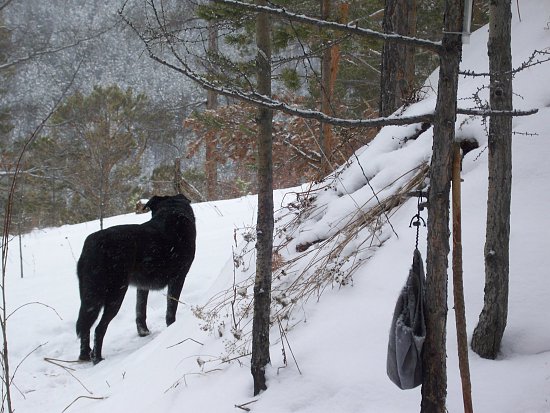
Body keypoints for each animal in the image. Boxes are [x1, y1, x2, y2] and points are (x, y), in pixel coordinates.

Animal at [76, 195, 197, 362]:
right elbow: (170, 310)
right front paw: (171, 329)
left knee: (85, 326)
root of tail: (91, 245)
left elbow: (140, 310)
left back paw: (85, 355)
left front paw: (143, 333)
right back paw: (97, 358)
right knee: (99, 328)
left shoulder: (142, 286)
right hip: (115, 294)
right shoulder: (178, 278)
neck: (171, 210)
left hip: (89, 296)